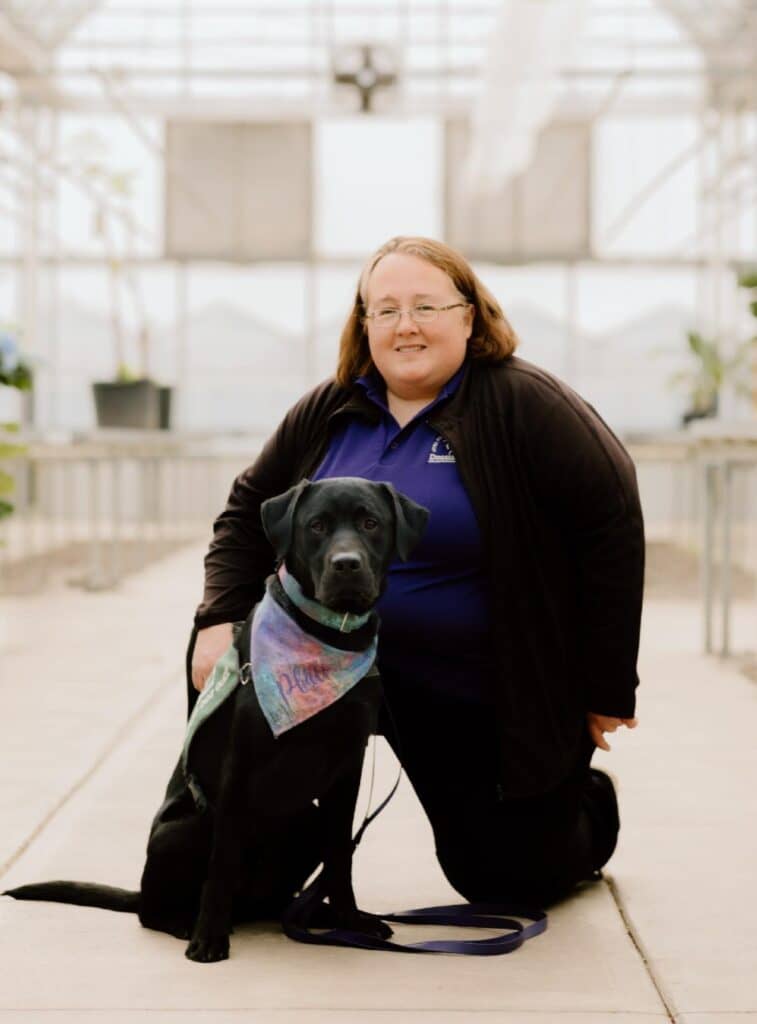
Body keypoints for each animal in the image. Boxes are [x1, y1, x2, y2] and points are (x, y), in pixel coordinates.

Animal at [2, 477, 430, 958]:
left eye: (371, 523)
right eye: (316, 525)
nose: (347, 565)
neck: (326, 637)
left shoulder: (347, 767)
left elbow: (341, 854)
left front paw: (351, 922)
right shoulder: (239, 768)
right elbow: (222, 863)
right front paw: (208, 938)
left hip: (306, 820)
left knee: (276, 895)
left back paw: (306, 915)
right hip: (183, 830)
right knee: (154, 909)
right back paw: (184, 922)